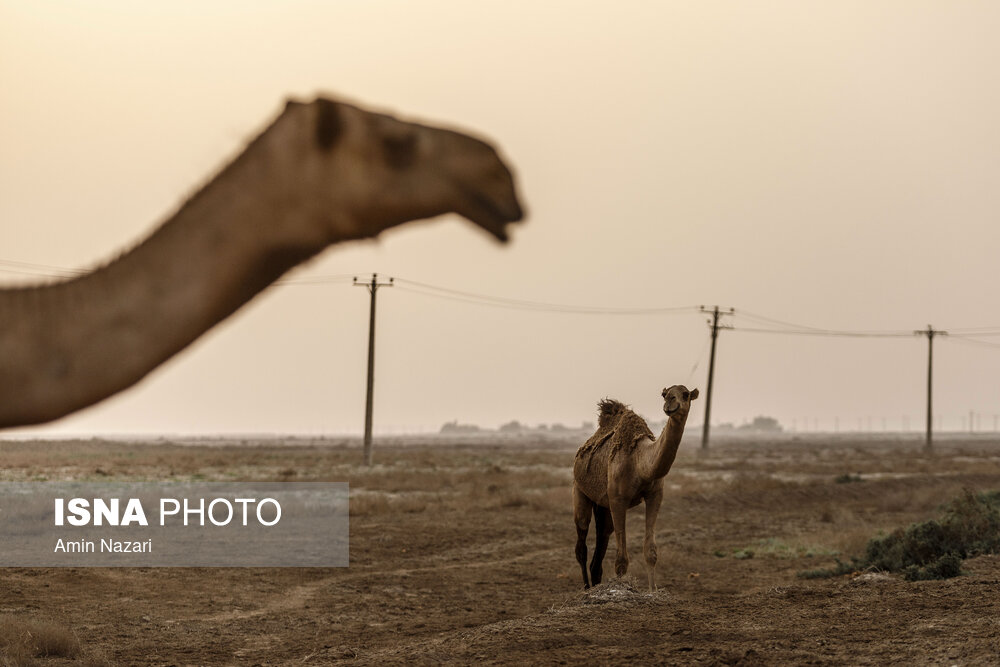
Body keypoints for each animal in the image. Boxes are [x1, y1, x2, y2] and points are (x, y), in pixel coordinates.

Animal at [576, 388, 700, 592]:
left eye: (685, 394)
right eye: (665, 394)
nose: (670, 403)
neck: (639, 461)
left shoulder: (655, 495)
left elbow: (651, 552)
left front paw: (652, 590)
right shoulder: (618, 500)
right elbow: (621, 560)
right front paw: (620, 590)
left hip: (603, 506)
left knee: (602, 538)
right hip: (579, 489)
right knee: (581, 542)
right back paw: (586, 588)